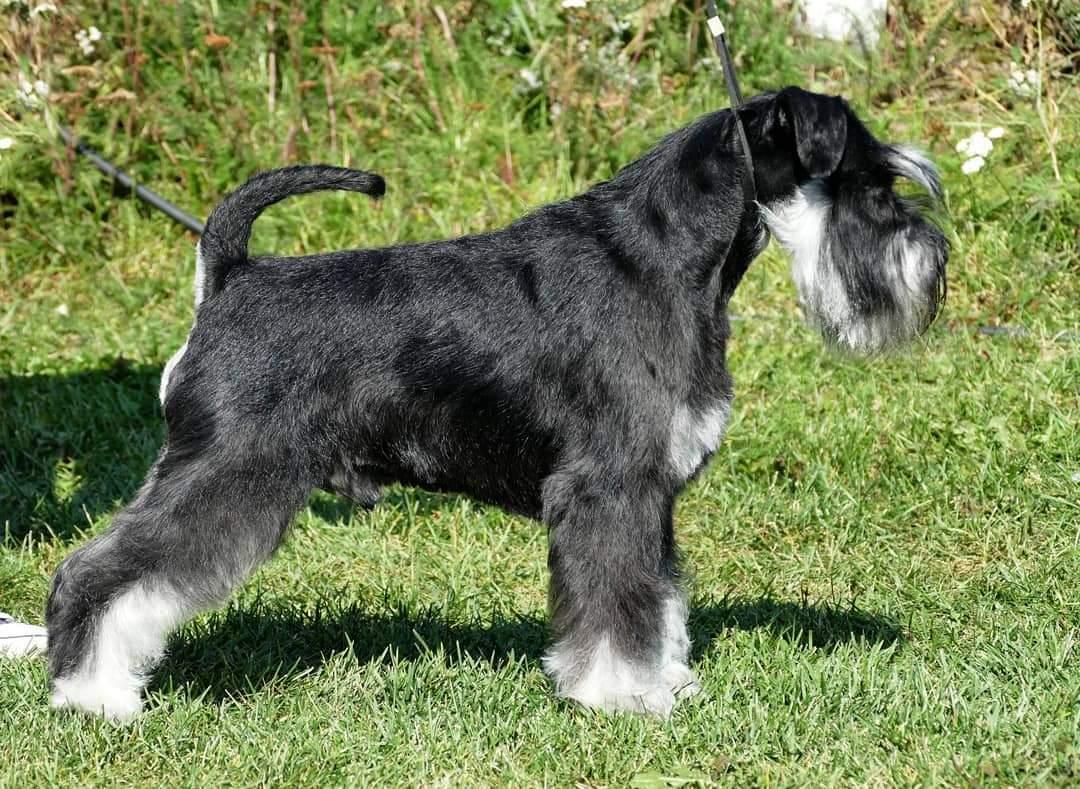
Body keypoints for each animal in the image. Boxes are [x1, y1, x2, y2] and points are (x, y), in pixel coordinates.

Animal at [45, 87, 947, 721]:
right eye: (872, 186)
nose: (933, 260)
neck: (667, 257)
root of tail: (230, 275)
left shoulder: (650, 495)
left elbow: (655, 596)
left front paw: (668, 682)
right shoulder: (607, 486)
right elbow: (615, 605)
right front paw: (621, 697)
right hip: (228, 473)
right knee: (97, 570)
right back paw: (93, 694)